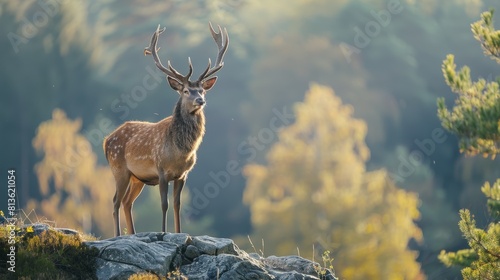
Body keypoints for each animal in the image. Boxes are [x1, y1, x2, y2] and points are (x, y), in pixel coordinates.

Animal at [103, 23, 229, 236]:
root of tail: (106, 141)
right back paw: (118, 235)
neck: (181, 152)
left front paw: (179, 233)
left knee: (127, 202)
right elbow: (164, 204)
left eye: (202, 90)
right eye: (186, 91)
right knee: (115, 201)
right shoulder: (161, 170)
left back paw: (133, 233)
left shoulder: (183, 175)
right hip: (119, 168)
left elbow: (178, 205)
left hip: (137, 178)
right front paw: (162, 232)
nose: (200, 100)